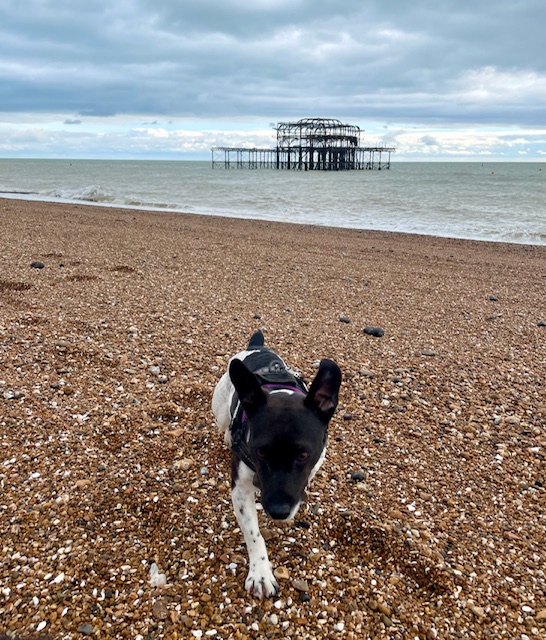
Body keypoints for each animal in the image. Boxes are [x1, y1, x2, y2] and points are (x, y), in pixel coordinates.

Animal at [210, 332, 338, 596]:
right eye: (260, 452)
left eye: (303, 455)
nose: (278, 511)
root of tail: (256, 345)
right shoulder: (240, 489)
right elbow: (254, 534)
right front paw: (260, 574)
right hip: (220, 411)